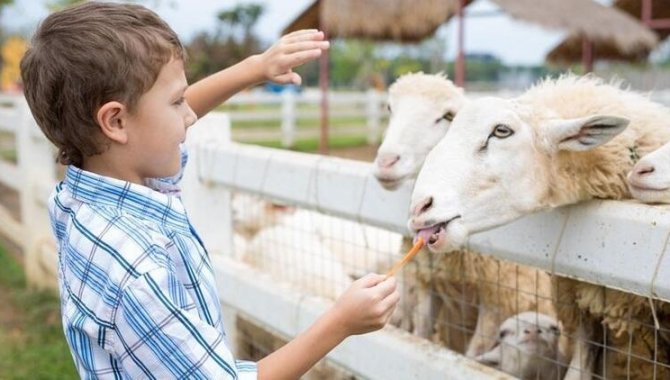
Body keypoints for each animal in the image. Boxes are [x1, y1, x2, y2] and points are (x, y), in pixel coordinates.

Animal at [372, 71, 556, 356]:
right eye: (390, 108)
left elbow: (474, 355)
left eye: (447, 116)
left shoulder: (497, 302)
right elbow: (420, 335)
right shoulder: (428, 286)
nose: (386, 163)